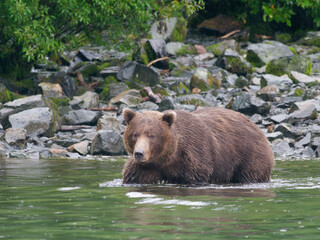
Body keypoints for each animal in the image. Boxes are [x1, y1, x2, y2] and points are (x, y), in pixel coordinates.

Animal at [121, 108, 274, 185]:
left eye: (152, 135)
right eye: (135, 134)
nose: (139, 153)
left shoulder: (194, 157)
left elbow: (195, 177)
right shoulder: (146, 168)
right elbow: (134, 177)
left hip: (249, 155)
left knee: (251, 174)